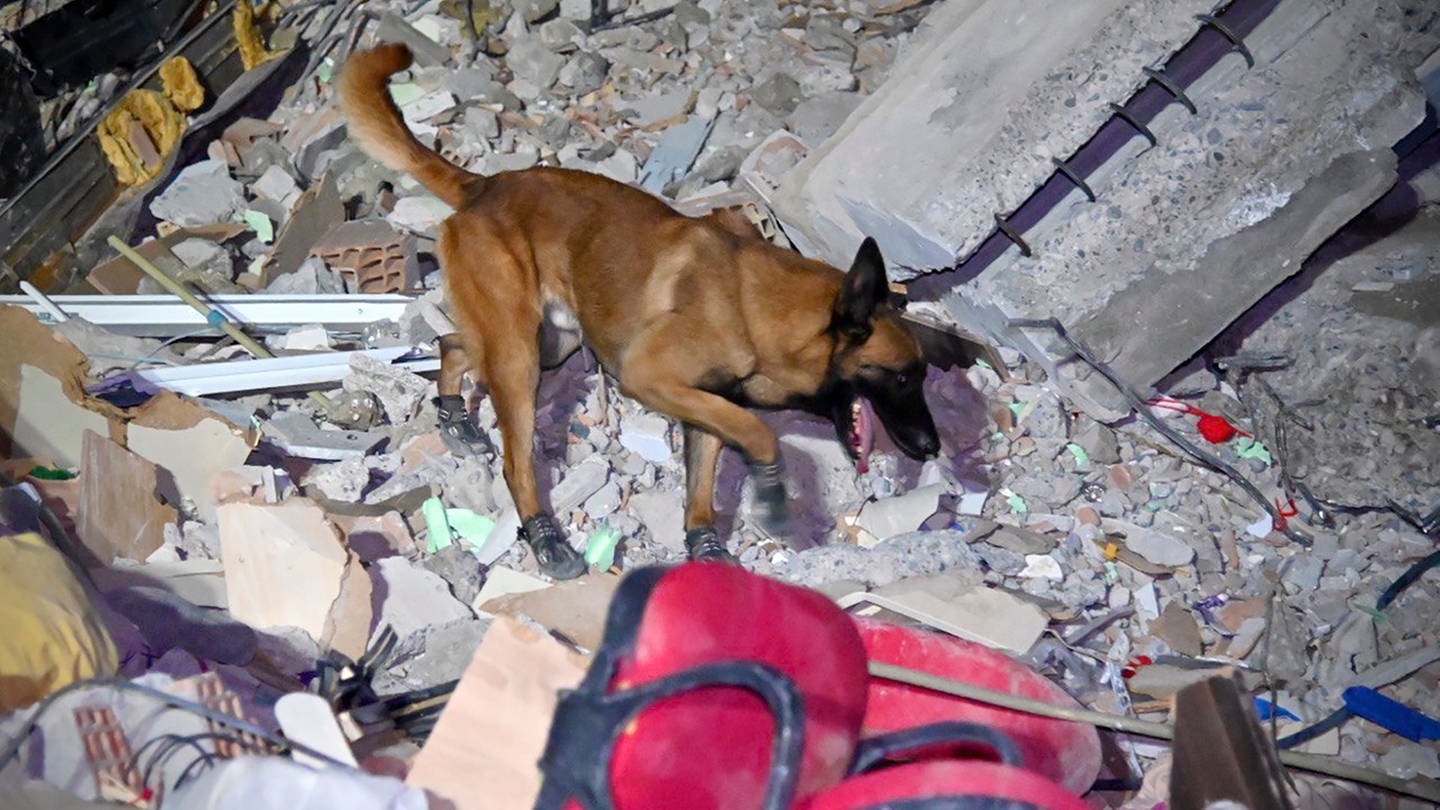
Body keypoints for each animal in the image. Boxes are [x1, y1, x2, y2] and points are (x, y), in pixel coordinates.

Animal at [336, 44, 944, 576]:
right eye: (903, 377)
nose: (933, 447)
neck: (755, 303)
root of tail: (484, 185)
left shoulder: (704, 404)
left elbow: (703, 483)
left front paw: (707, 548)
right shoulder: (651, 378)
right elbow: (760, 432)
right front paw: (771, 488)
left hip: (550, 342)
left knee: (456, 343)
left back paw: (454, 415)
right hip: (521, 356)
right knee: (515, 459)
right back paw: (544, 535)